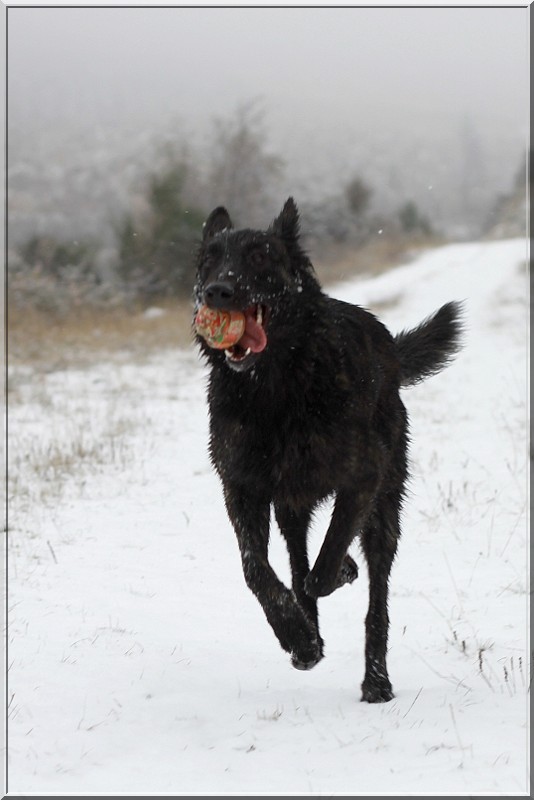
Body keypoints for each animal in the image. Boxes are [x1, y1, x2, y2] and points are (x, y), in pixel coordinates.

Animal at [194, 198, 464, 700]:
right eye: (209, 260)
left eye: (260, 255)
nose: (217, 292)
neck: (275, 390)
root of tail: (390, 347)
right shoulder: (242, 488)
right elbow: (259, 570)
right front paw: (295, 633)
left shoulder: (362, 479)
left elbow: (329, 557)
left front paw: (339, 574)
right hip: (291, 507)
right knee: (297, 560)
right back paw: (310, 637)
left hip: (384, 512)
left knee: (373, 600)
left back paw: (375, 678)